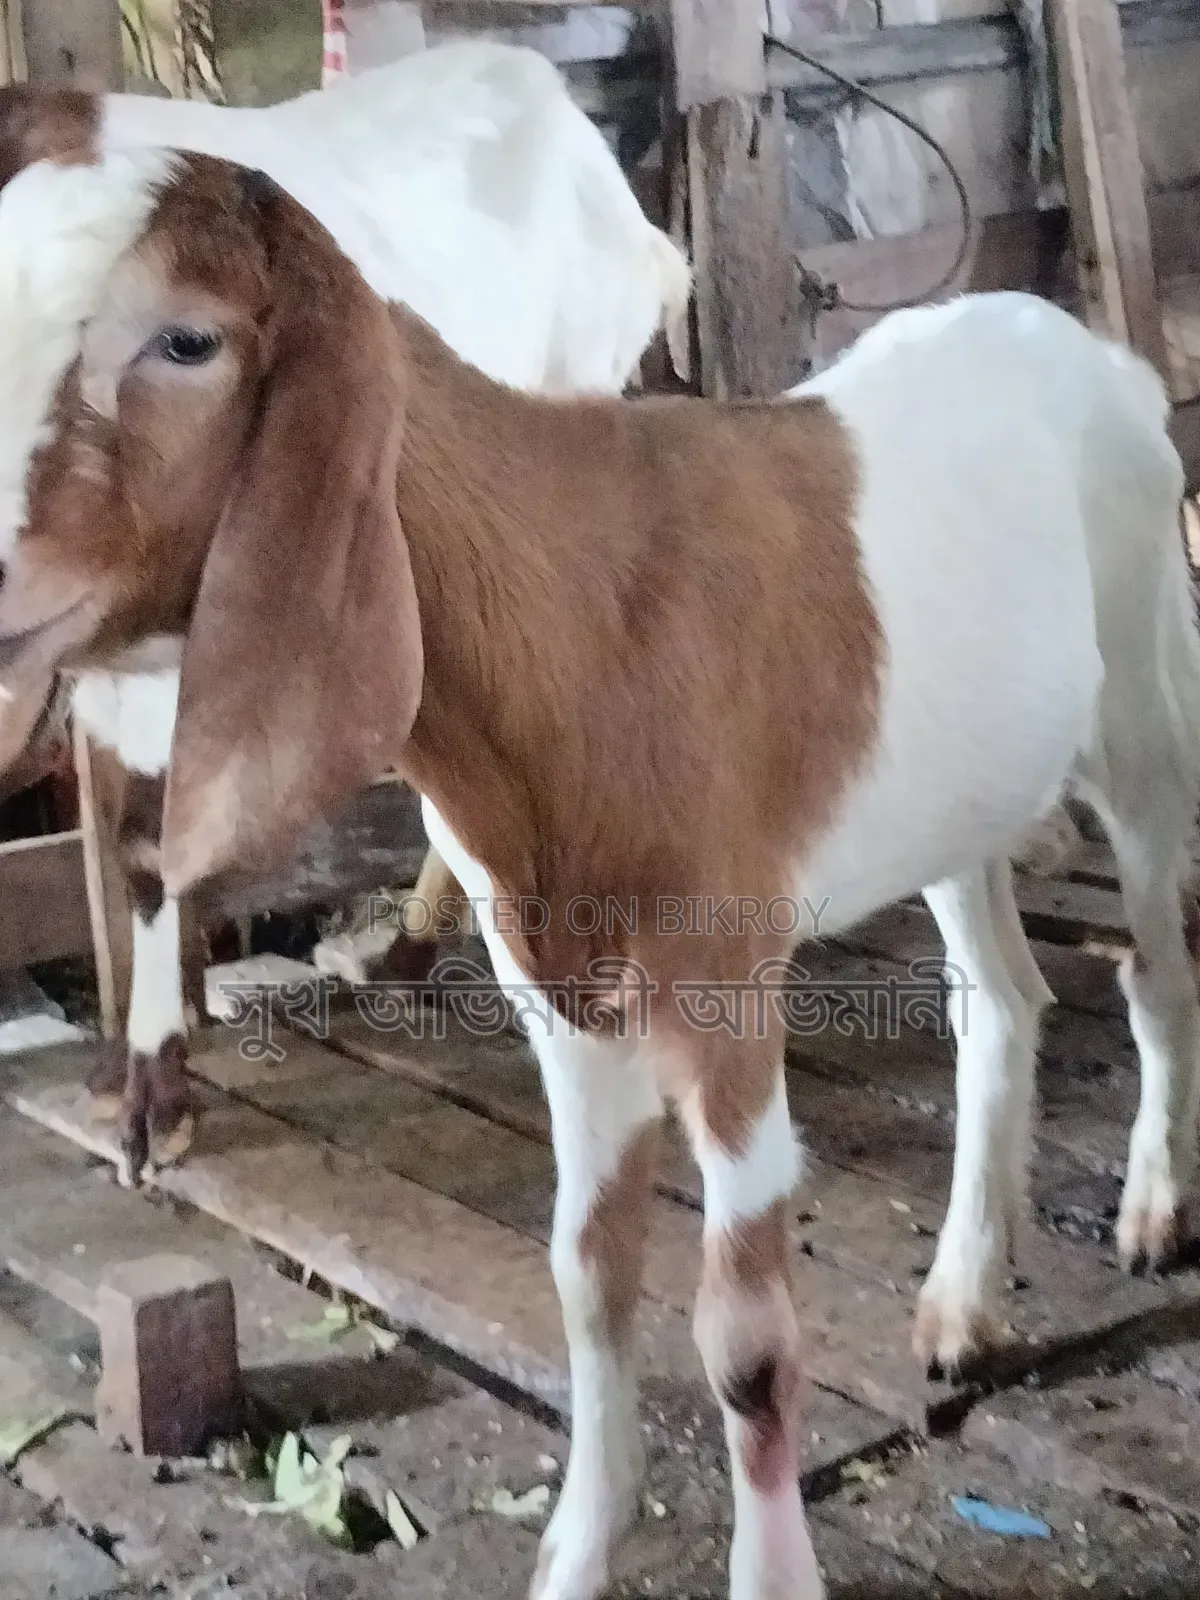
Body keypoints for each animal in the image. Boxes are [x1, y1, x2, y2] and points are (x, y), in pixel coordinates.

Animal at [0, 40, 691, 1180]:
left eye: (187, 341)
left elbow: (156, 841)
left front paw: (156, 1095)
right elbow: (139, 847)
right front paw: (131, 1075)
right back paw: (408, 946)